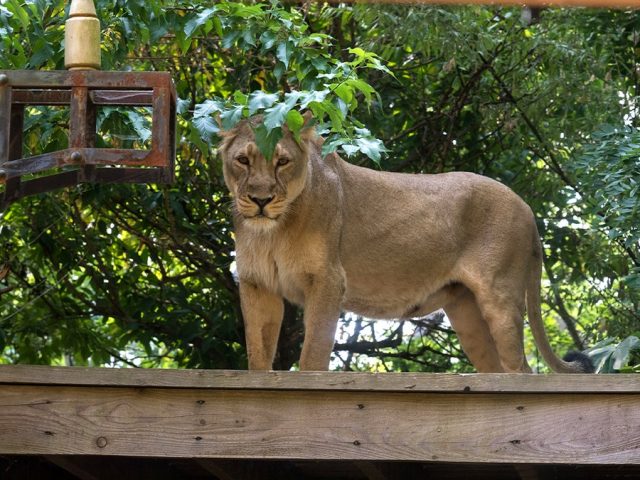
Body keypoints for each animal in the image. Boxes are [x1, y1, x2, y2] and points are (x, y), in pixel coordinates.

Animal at [219, 115, 593, 373]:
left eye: (282, 161)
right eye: (243, 160)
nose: (261, 200)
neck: (273, 232)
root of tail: (527, 208)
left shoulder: (328, 280)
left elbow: (313, 353)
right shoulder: (257, 284)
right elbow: (257, 353)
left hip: (499, 296)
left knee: (522, 371)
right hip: (466, 310)